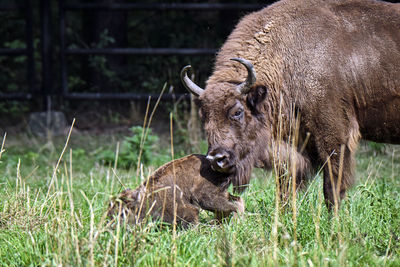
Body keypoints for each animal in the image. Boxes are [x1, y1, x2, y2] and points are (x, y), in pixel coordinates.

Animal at [107, 155, 244, 228]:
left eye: (122, 213)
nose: (109, 226)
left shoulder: (188, 210)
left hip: (205, 198)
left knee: (233, 205)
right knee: (236, 200)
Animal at [183, 0, 400, 209]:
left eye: (237, 112)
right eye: (204, 116)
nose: (216, 159)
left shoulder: (335, 137)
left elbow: (332, 187)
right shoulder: (292, 148)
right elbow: (285, 187)